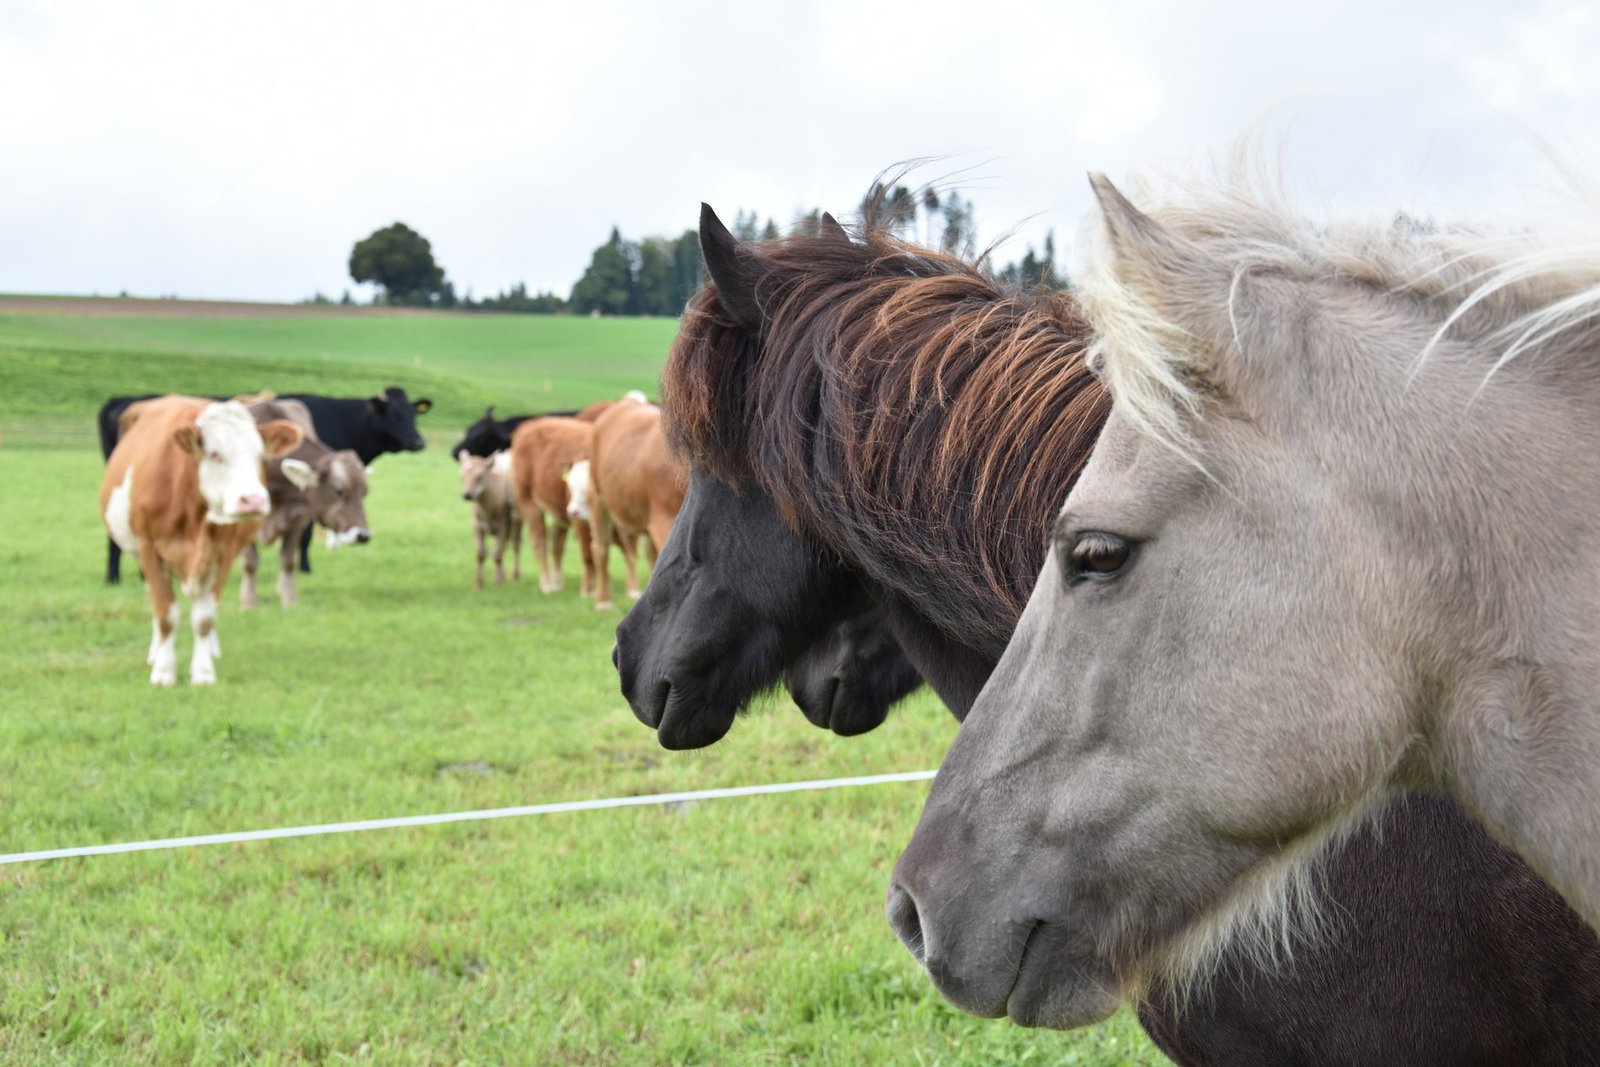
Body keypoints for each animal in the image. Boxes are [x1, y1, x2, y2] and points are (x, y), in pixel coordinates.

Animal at [100, 396, 302, 685]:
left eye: (259, 454)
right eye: (215, 453)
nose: (253, 500)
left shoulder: (223, 554)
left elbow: (205, 618)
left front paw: (203, 672)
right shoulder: (149, 550)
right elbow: (165, 614)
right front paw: (163, 671)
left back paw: (212, 650)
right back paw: (154, 651)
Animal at [239, 399, 372, 608]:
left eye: (365, 492)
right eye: (338, 491)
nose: (363, 536)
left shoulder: (297, 518)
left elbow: (287, 560)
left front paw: (289, 601)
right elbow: (250, 562)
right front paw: (249, 603)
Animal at [459, 450, 522, 588]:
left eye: (480, 476)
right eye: (461, 476)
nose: (467, 495)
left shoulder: (504, 524)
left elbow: (498, 554)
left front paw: (498, 582)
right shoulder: (476, 525)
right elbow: (481, 554)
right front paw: (478, 583)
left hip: (518, 521)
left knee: (515, 545)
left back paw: (516, 575)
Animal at [508, 416, 596, 594]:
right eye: (572, 486)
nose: (573, 510)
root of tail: (530, 424)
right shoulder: (581, 521)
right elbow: (588, 554)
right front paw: (587, 591)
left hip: (559, 512)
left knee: (557, 544)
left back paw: (557, 582)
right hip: (529, 502)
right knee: (540, 541)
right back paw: (547, 583)